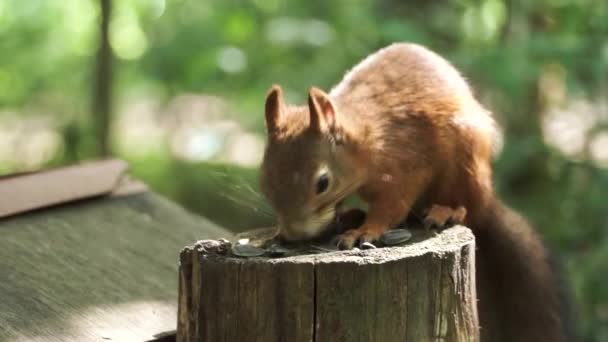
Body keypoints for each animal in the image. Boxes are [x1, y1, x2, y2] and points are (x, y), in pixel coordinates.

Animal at [258, 43, 572, 342]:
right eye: (265, 180)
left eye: (323, 183)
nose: (293, 235)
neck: (365, 140)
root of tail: (487, 201)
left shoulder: (406, 166)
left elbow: (392, 207)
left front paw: (364, 231)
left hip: (466, 158)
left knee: (465, 204)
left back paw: (445, 211)